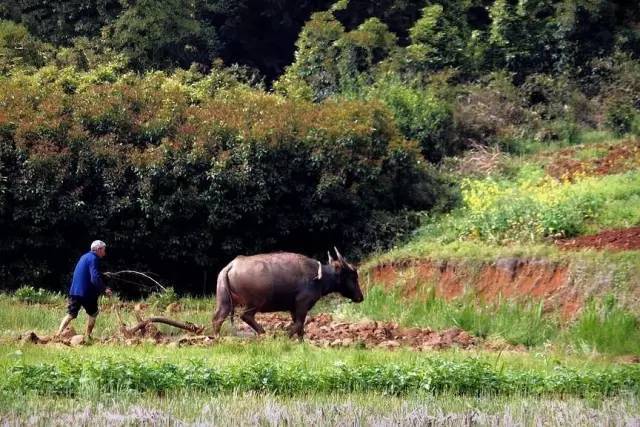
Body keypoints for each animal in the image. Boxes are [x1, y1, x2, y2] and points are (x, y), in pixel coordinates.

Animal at [214, 249, 362, 340]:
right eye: (353, 276)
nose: (360, 297)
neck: (319, 277)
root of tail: (231, 266)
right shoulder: (302, 304)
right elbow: (299, 324)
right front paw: (284, 338)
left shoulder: (293, 308)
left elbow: (300, 328)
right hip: (256, 302)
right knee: (246, 316)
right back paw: (263, 332)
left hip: (225, 302)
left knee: (217, 319)